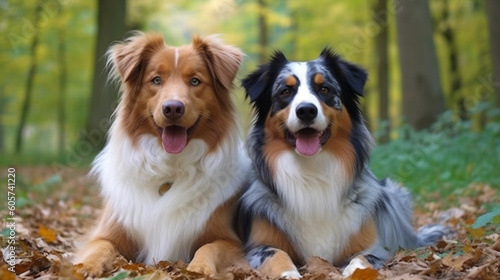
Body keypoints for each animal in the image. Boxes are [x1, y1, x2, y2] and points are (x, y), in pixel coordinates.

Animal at [74, 31, 250, 276]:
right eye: (156, 80)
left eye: (195, 81)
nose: (173, 108)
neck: (171, 166)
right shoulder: (106, 233)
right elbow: (99, 248)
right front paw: (86, 267)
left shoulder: (230, 240)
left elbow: (208, 248)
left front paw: (200, 269)